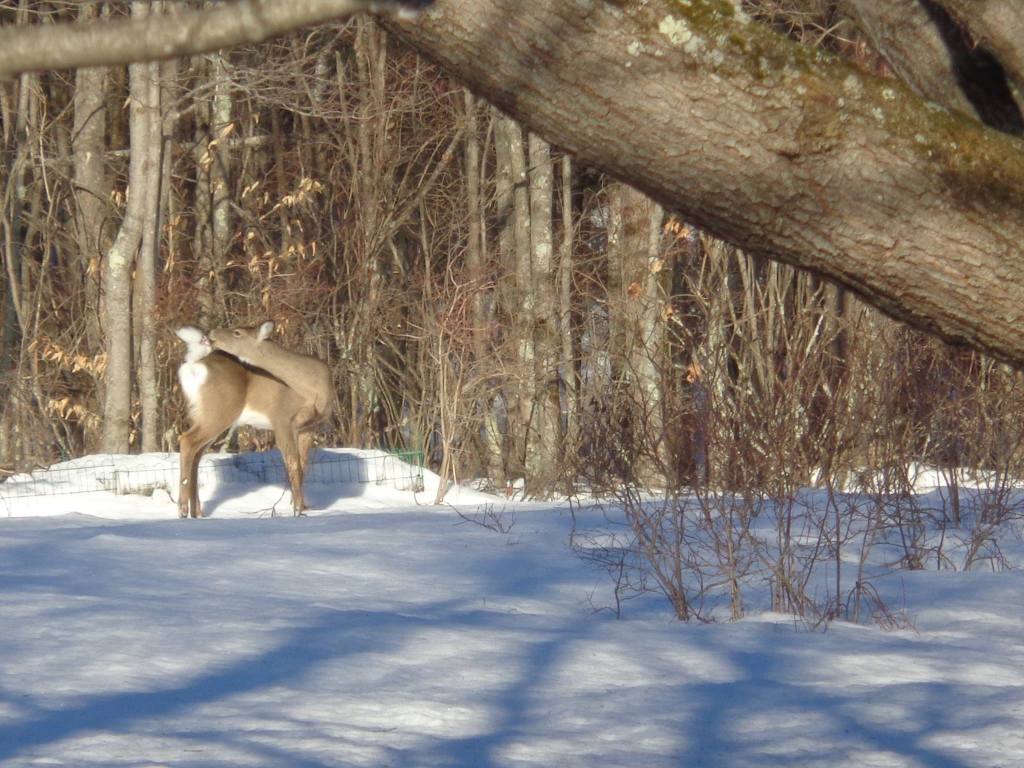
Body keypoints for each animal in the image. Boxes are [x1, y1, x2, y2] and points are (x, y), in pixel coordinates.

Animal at [174, 322, 332, 518]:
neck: (313, 387)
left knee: (196, 454)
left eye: (237, 332)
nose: (211, 333)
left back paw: (197, 513)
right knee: (186, 441)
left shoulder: (309, 427)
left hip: (203, 414)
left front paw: (303, 507)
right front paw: (297, 510)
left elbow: (303, 465)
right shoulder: (282, 419)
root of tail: (194, 364)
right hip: (219, 410)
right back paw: (182, 510)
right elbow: (293, 465)